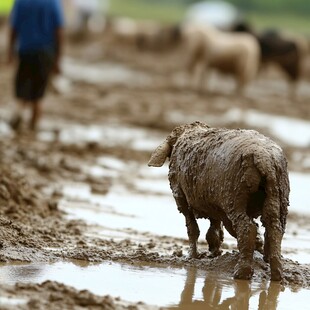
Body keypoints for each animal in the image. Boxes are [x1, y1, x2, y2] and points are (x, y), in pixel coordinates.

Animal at [149, 121, 290, 280]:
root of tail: (265, 159)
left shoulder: (181, 198)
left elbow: (193, 230)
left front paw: (192, 256)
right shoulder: (214, 203)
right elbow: (214, 230)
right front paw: (214, 252)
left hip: (234, 198)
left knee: (247, 228)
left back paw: (242, 271)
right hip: (279, 197)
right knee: (275, 228)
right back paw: (276, 271)